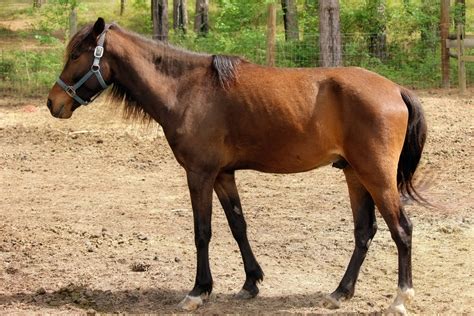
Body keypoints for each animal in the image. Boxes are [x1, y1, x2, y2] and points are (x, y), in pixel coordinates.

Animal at [46, 18, 428, 314]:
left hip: (376, 176)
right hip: (354, 174)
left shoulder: (199, 174)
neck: (187, 90)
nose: (53, 102)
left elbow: (203, 232)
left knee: (402, 230)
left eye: (77, 54)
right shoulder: (223, 175)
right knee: (364, 232)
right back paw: (340, 293)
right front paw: (251, 282)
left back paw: (400, 299)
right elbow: (238, 226)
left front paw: (198, 291)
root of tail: (395, 89)